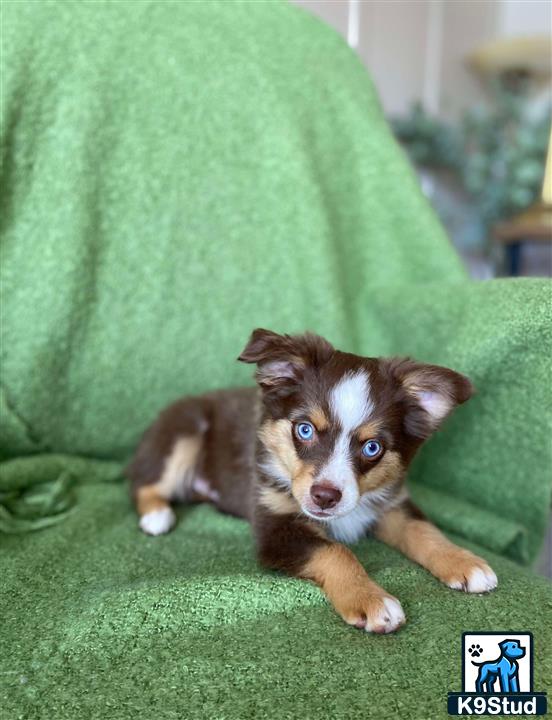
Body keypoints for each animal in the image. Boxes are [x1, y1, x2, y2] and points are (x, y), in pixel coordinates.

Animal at [128, 330, 496, 632]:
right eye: (304, 430)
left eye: (372, 447)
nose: (325, 497)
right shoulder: (275, 524)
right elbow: (334, 550)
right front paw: (371, 600)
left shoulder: (390, 502)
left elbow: (423, 529)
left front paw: (464, 561)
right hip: (183, 431)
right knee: (144, 482)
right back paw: (157, 516)